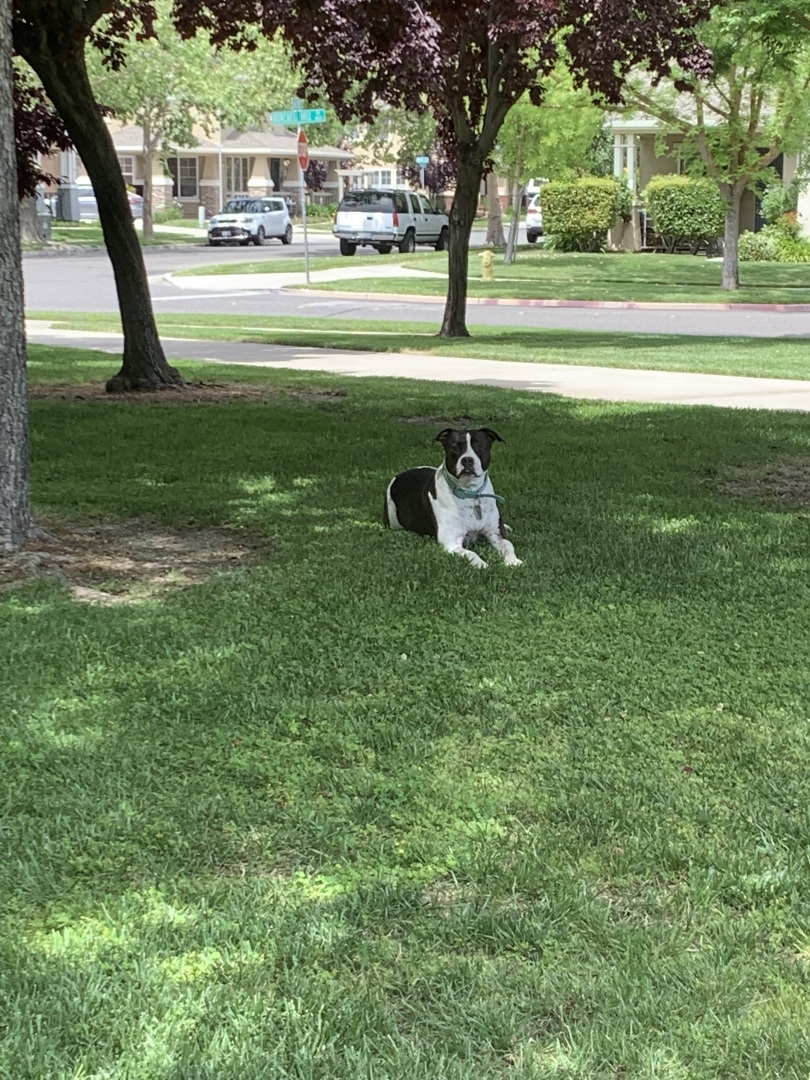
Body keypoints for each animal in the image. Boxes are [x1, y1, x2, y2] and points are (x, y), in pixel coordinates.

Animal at [384, 425, 522, 570]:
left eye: (479, 446)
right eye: (455, 447)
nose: (467, 459)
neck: (470, 492)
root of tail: (399, 475)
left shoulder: (496, 534)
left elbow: (509, 546)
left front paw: (513, 561)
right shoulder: (451, 542)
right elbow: (471, 553)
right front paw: (481, 564)